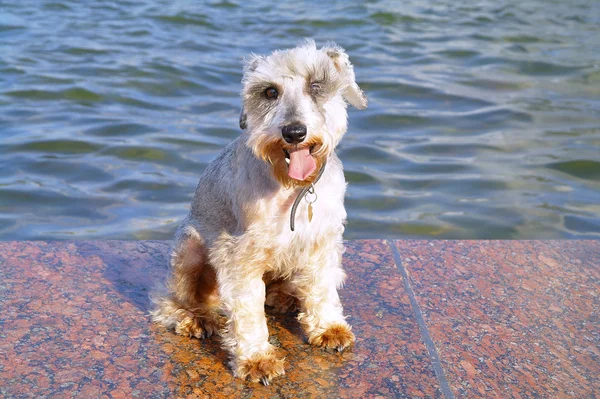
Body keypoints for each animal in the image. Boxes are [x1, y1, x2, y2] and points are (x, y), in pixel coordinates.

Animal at [151, 39, 366, 386]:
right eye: (270, 92)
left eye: (316, 85)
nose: (294, 132)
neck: (293, 188)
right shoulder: (240, 254)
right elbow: (248, 310)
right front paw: (256, 359)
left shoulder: (323, 240)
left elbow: (322, 286)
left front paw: (328, 328)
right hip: (189, 251)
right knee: (172, 299)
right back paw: (192, 319)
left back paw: (285, 296)